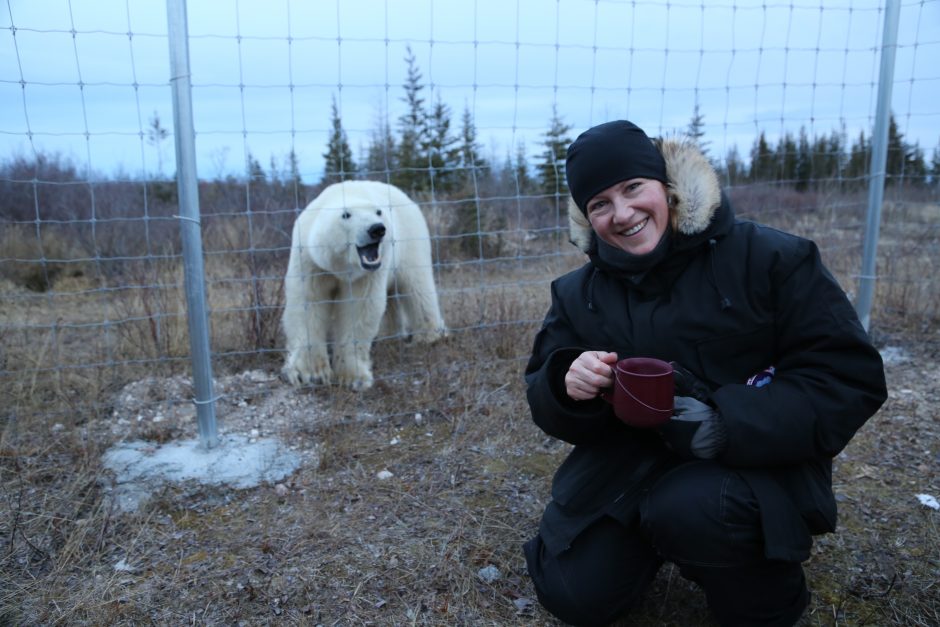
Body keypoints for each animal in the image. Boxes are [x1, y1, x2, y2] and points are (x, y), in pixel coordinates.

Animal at [280, 179, 446, 390]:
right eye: (346, 215)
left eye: (378, 212)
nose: (377, 229)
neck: (341, 267)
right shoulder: (310, 261)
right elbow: (308, 303)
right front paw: (311, 374)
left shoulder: (366, 275)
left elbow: (360, 308)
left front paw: (353, 377)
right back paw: (390, 335)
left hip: (411, 240)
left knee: (417, 287)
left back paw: (429, 335)